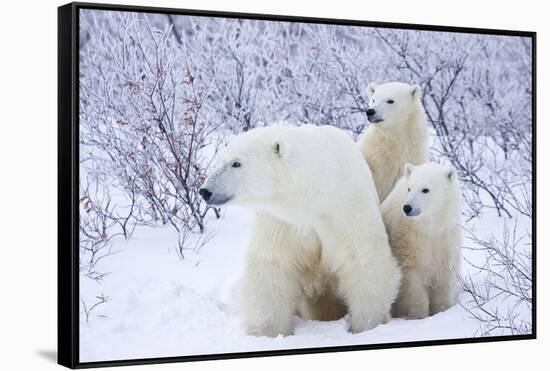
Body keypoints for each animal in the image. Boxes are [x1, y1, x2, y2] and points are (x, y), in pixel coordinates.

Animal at [201, 125, 404, 338]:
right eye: (221, 160)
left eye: (236, 163)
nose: (205, 191)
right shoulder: (281, 222)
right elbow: (272, 267)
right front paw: (267, 332)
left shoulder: (345, 210)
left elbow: (363, 261)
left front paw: (367, 326)